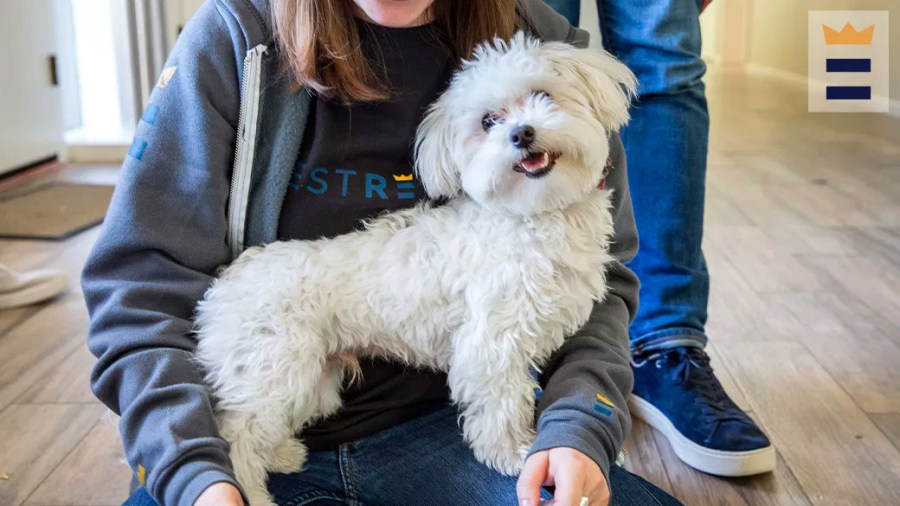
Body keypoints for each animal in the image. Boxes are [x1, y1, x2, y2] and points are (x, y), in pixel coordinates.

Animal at [194, 33, 636, 504]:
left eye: (543, 95)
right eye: (488, 122)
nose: (521, 133)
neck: (532, 215)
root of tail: (224, 287)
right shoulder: (490, 345)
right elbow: (501, 405)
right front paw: (514, 453)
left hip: (313, 379)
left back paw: (281, 455)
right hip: (275, 370)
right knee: (236, 438)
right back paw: (255, 492)